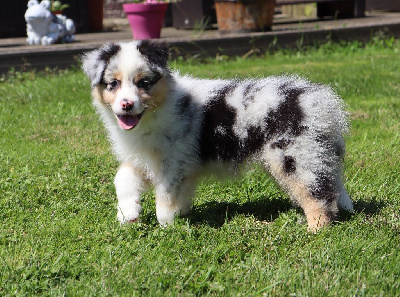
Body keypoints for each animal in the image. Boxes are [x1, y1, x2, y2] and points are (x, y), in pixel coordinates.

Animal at [82, 40, 354, 229]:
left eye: (144, 83)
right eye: (113, 84)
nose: (127, 105)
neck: (154, 114)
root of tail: (323, 102)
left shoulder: (173, 163)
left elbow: (165, 199)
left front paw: (167, 226)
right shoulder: (145, 157)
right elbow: (122, 177)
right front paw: (129, 212)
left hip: (294, 155)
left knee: (319, 195)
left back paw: (314, 230)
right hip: (307, 153)